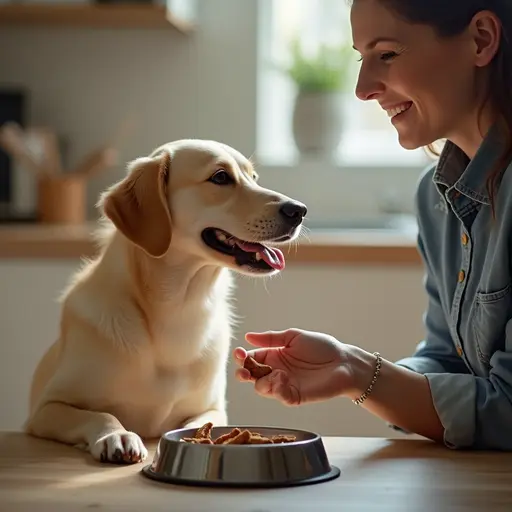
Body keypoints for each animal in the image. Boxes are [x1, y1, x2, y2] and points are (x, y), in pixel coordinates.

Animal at [24, 139, 306, 464]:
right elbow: (100, 414)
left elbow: (198, 423)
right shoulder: (46, 409)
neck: (178, 309)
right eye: (221, 177)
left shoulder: (212, 408)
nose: (299, 210)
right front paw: (117, 435)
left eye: (254, 178)